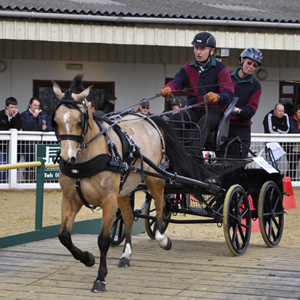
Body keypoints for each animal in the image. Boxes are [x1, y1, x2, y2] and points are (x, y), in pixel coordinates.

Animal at [51, 75, 210, 292]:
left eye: (79, 120)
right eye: (56, 121)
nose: (68, 159)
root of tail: (148, 118)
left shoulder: (109, 200)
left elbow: (103, 240)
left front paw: (100, 278)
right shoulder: (70, 199)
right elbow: (64, 237)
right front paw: (87, 258)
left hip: (154, 178)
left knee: (161, 206)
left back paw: (162, 238)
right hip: (124, 190)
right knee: (127, 218)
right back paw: (126, 254)